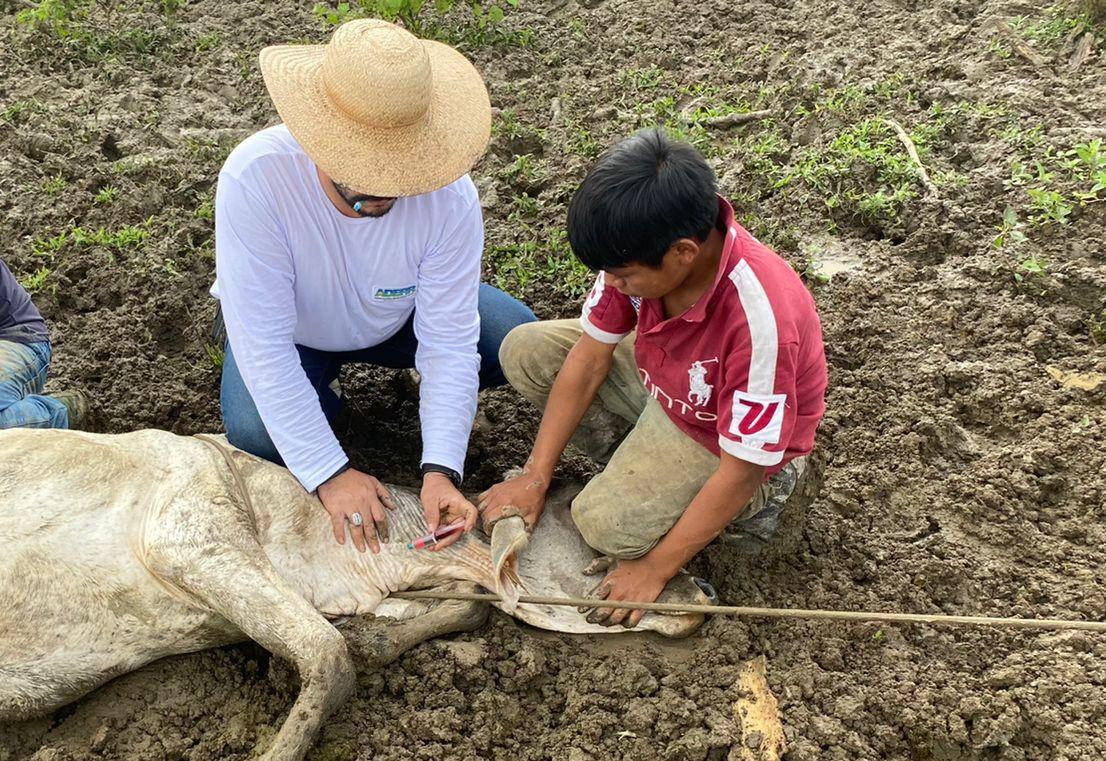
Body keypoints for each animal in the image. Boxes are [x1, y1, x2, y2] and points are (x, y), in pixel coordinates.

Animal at [0, 429, 712, 761]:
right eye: (601, 547)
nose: (705, 590)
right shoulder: (186, 535)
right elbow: (327, 654)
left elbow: (445, 612)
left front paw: (377, 637)